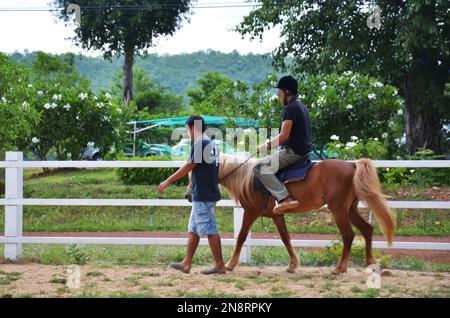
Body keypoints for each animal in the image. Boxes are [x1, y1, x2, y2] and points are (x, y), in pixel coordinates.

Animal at [218, 154, 394, 274]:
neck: (246, 179)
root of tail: (352, 165)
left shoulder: (250, 212)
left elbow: (241, 236)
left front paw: (230, 264)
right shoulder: (277, 216)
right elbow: (285, 238)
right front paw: (293, 265)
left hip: (338, 209)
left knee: (348, 235)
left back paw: (340, 268)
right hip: (350, 209)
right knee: (367, 229)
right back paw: (370, 263)